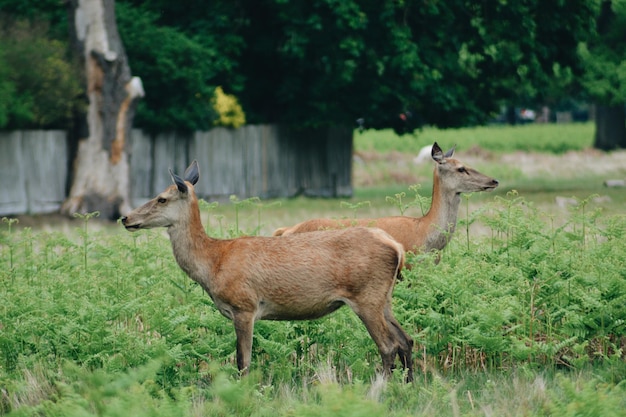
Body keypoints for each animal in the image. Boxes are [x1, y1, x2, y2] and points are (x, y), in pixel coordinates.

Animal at [122, 159, 414, 380]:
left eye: (161, 199)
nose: (125, 218)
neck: (213, 263)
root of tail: (396, 248)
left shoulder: (244, 306)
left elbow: (243, 362)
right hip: (383, 297)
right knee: (406, 340)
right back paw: (407, 385)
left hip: (366, 296)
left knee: (388, 345)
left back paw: (379, 389)